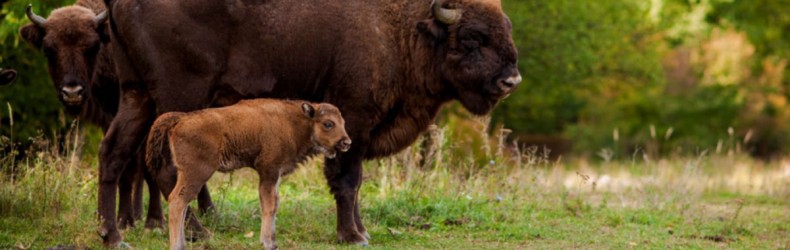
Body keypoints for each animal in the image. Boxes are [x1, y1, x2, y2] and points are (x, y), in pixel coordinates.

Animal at [19, 0, 213, 232]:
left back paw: (207, 210)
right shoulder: (110, 117)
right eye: (49, 50)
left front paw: (154, 221)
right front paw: (124, 219)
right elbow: (127, 167)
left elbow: (147, 167)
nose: (72, 92)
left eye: (92, 47)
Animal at [145, 99, 350, 250]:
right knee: (178, 201)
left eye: (343, 123)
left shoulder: (275, 175)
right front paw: (267, 242)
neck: (293, 122)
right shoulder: (268, 171)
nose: (346, 142)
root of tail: (180, 119)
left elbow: (274, 204)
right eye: (328, 123)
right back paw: (178, 245)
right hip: (196, 174)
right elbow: (269, 205)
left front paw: (272, 241)